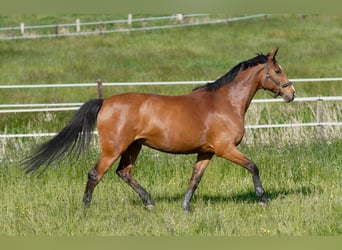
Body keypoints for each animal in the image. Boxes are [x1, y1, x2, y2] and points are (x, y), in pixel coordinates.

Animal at [24, 47, 296, 212]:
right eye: (278, 70)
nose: (291, 93)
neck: (225, 103)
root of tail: (105, 102)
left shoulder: (206, 151)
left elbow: (195, 179)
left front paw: (185, 208)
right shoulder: (224, 149)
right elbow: (253, 166)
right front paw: (263, 199)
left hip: (133, 147)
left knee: (124, 172)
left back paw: (150, 203)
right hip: (114, 148)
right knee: (95, 174)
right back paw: (85, 209)